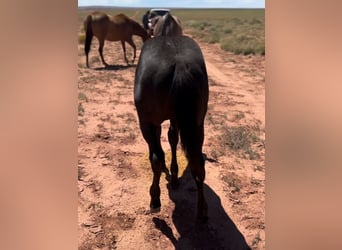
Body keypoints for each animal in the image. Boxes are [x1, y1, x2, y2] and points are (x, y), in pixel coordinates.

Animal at [134, 35, 208, 221]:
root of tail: (180, 65)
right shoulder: (176, 119)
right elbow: (173, 138)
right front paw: (174, 176)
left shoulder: (152, 123)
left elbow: (160, 150)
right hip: (198, 123)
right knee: (198, 164)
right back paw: (202, 212)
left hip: (147, 122)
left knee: (156, 157)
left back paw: (155, 201)